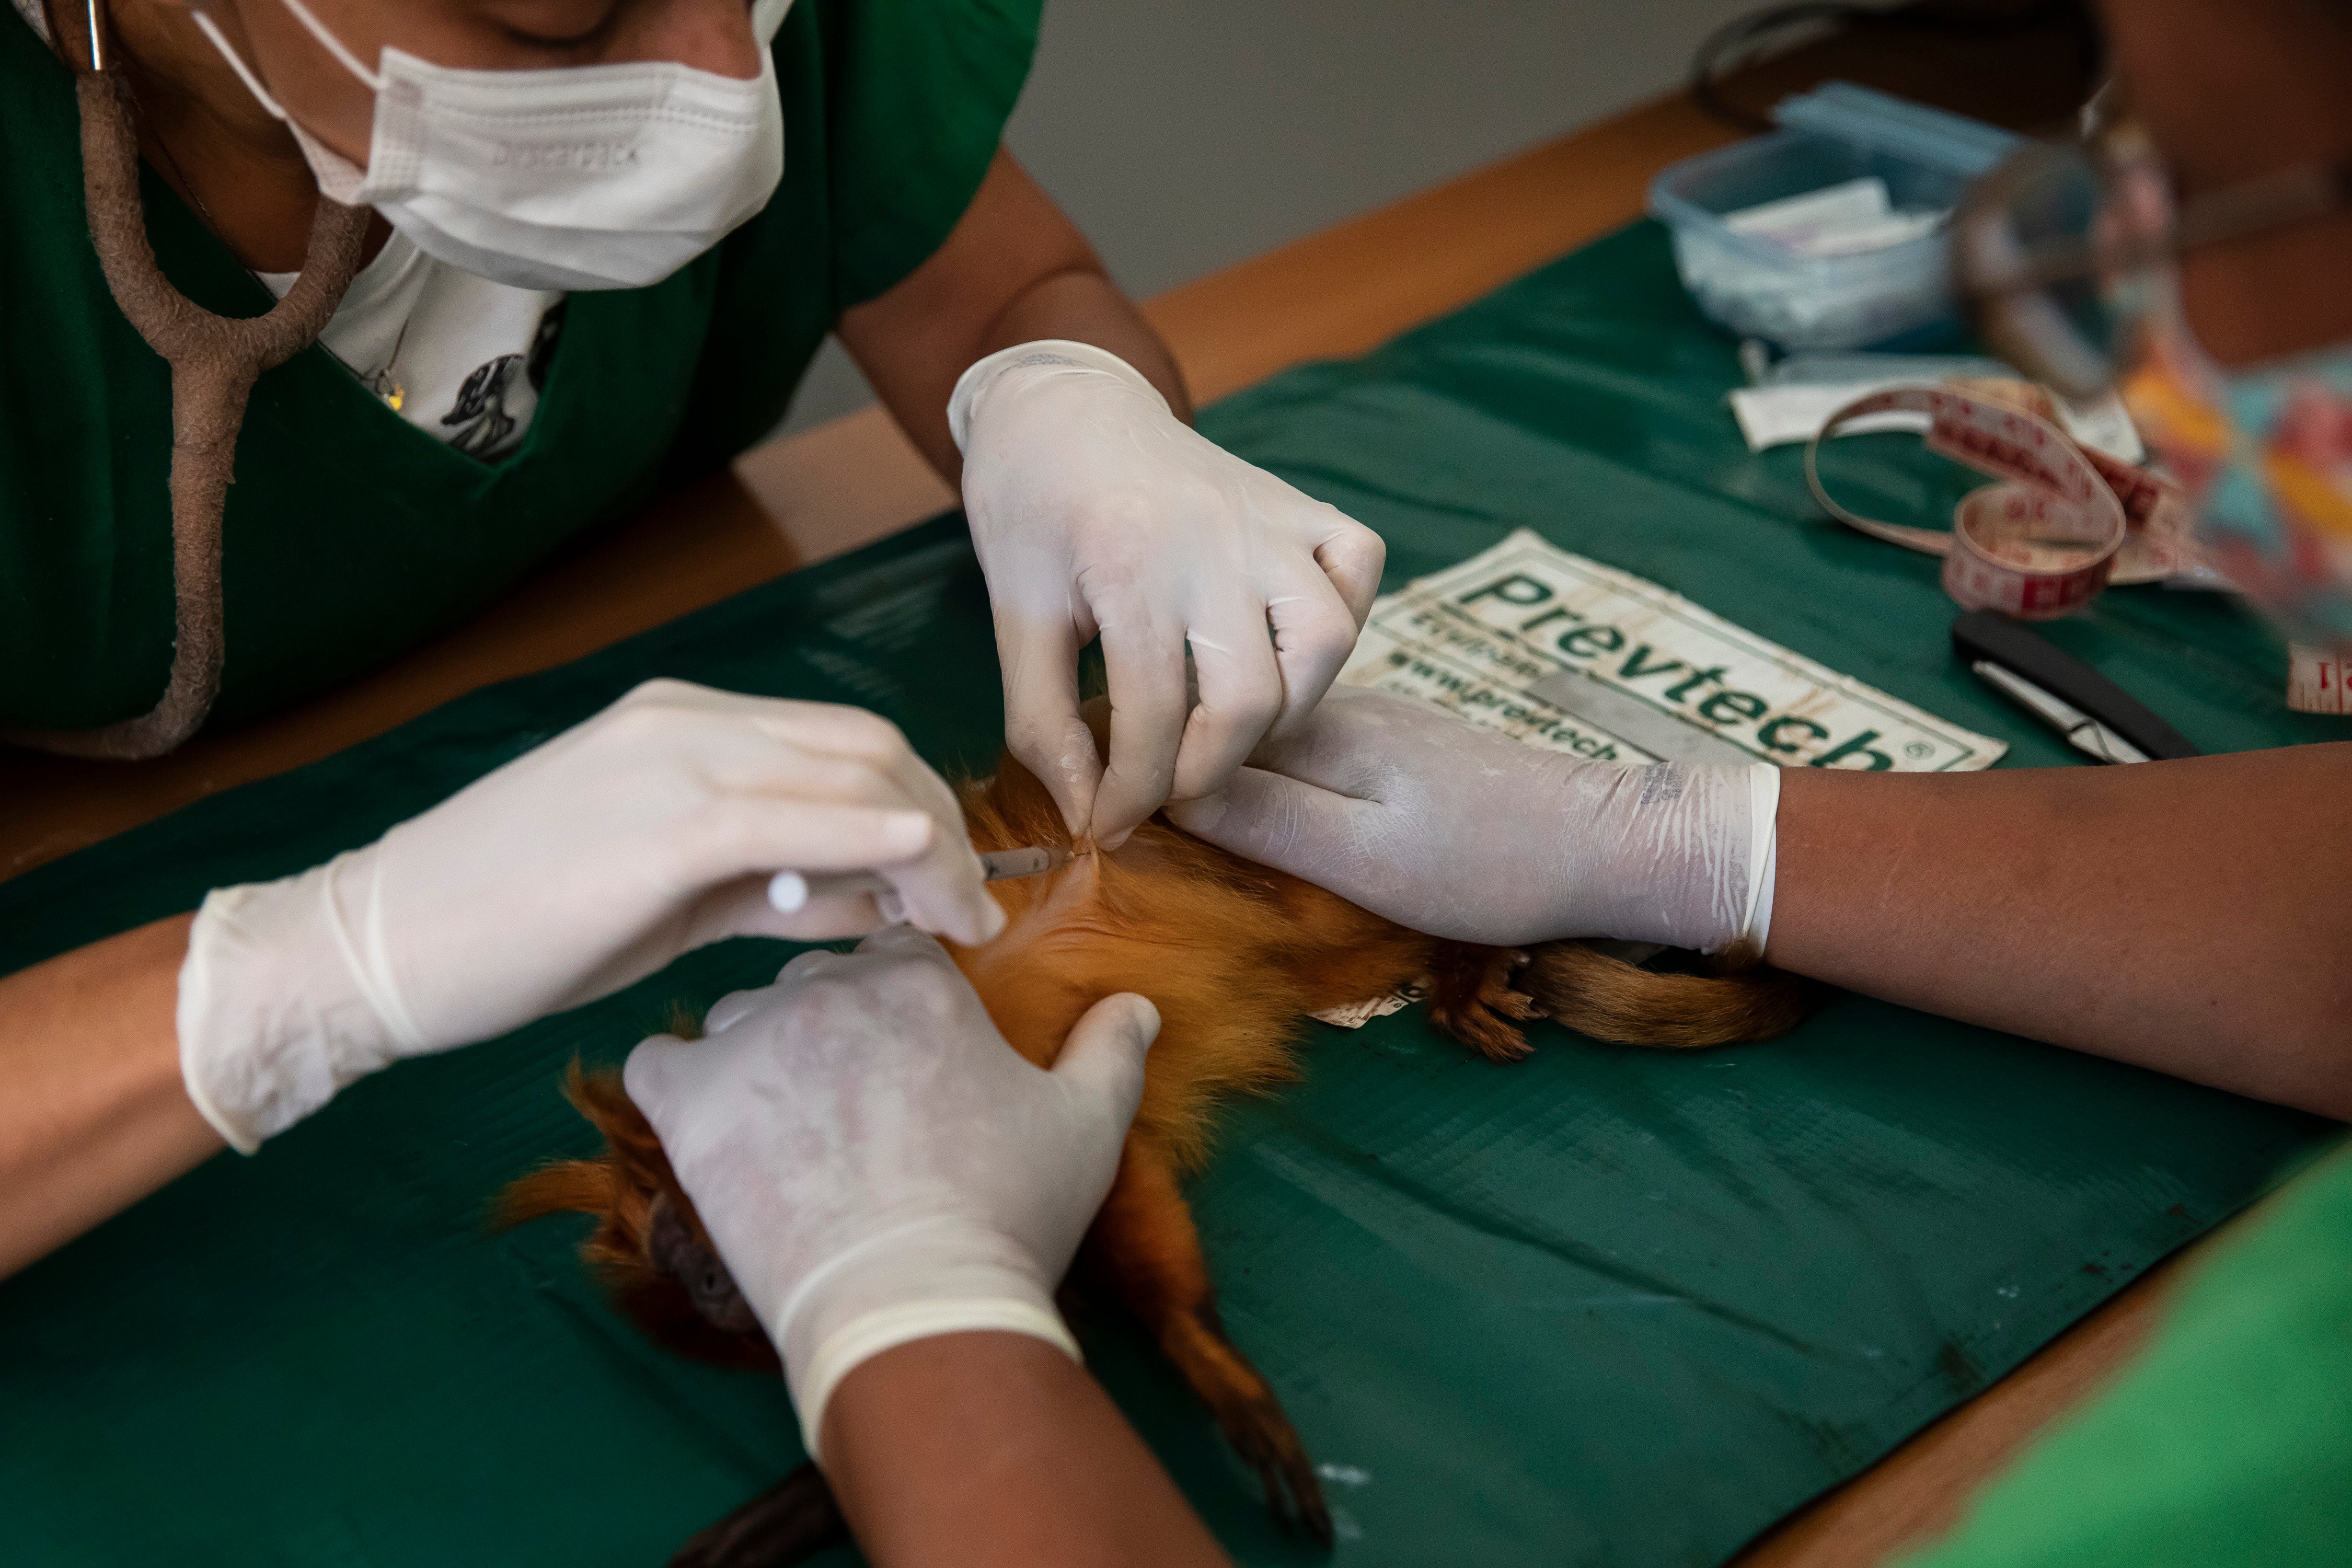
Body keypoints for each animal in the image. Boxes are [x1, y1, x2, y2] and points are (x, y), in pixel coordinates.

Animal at [499, 749, 1814, 1566]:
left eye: (699, 1246)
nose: (718, 1284)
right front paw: (796, 1505)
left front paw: (1205, 1361)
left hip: (1314, 868)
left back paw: (1474, 954)